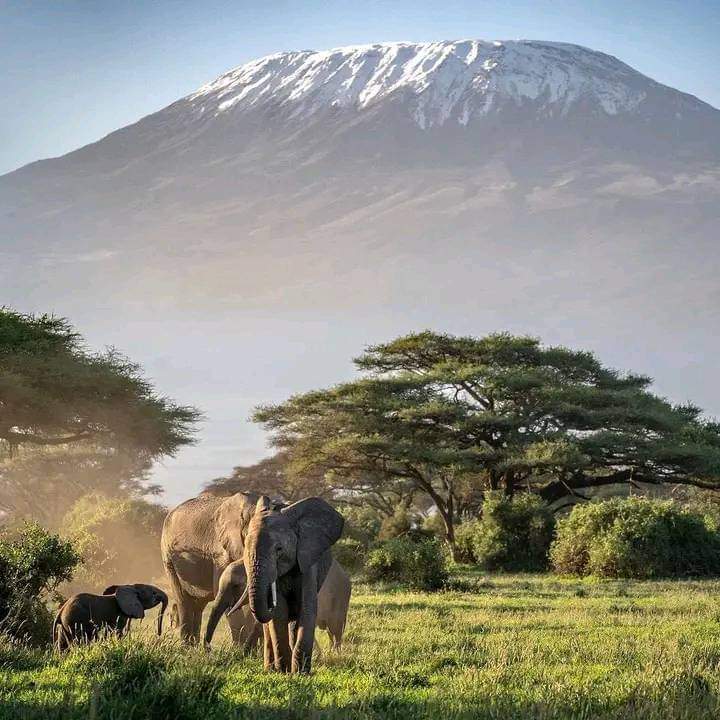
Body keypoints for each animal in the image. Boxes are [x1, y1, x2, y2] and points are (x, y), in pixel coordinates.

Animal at [163, 492, 344, 672]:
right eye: (247, 546)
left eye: (279, 549)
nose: (208, 651)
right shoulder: (220, 553)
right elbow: (276, 612)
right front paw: (281, 669)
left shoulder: (307, 558)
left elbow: (306, 608)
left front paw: (299, 673)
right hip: (169, 558)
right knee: (185, 601)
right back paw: (189, 650)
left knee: (198, 606)